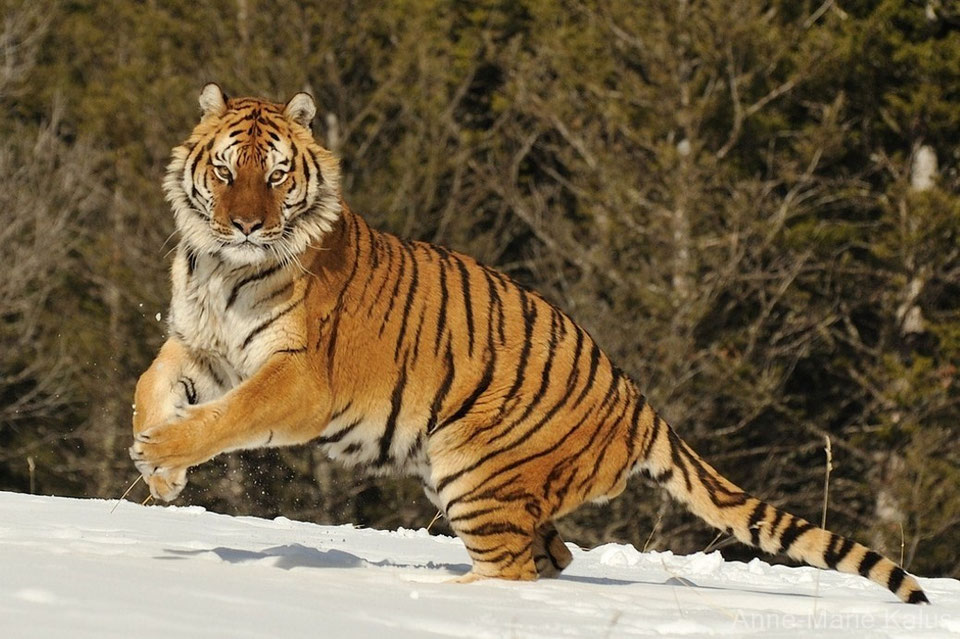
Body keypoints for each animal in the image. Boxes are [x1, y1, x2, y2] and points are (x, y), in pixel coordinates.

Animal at [130, 83, 929, 604]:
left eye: (276, 174)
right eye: (225, 170)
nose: (246, 225)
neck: (220, 267)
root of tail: (638, 401)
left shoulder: (297, 378)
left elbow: (227, 417)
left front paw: (162, 452)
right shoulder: (202, 343)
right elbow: (151, 384)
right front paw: (158, 467)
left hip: (474, 469)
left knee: (513, 569)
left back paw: (440, 597)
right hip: (472, 475)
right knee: (553, 553)